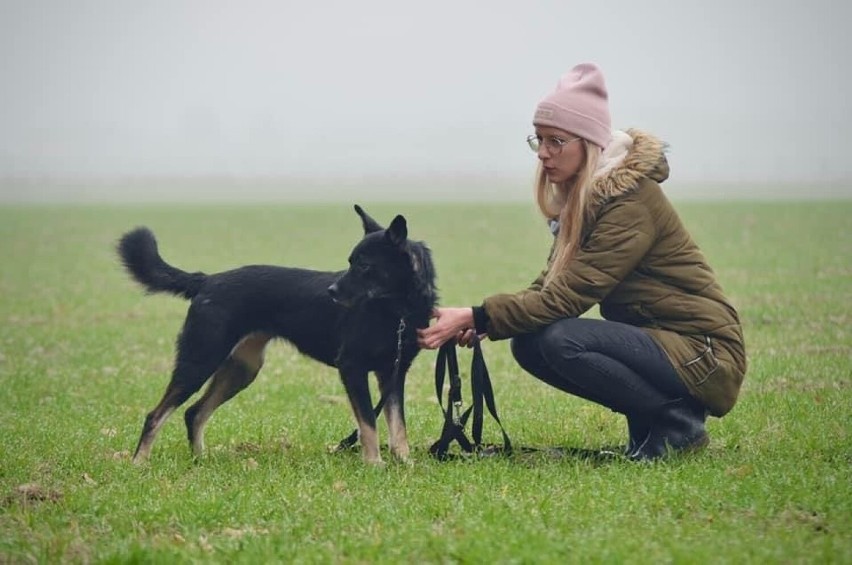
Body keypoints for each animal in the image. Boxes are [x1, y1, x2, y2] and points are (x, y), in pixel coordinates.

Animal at [118, 205, 440, 464]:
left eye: (364, 265)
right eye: (351, 262)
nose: (332, 292)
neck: (397, 311)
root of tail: (207, 281)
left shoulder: (393, 373)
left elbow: (398, 425)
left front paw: (404, 462)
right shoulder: (352, 367)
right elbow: (369, 423)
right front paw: (374, 463)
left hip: (242, 369)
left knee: (193, 413)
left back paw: (201, 461)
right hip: (200, 360)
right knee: (156, 415)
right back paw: (139, 463)